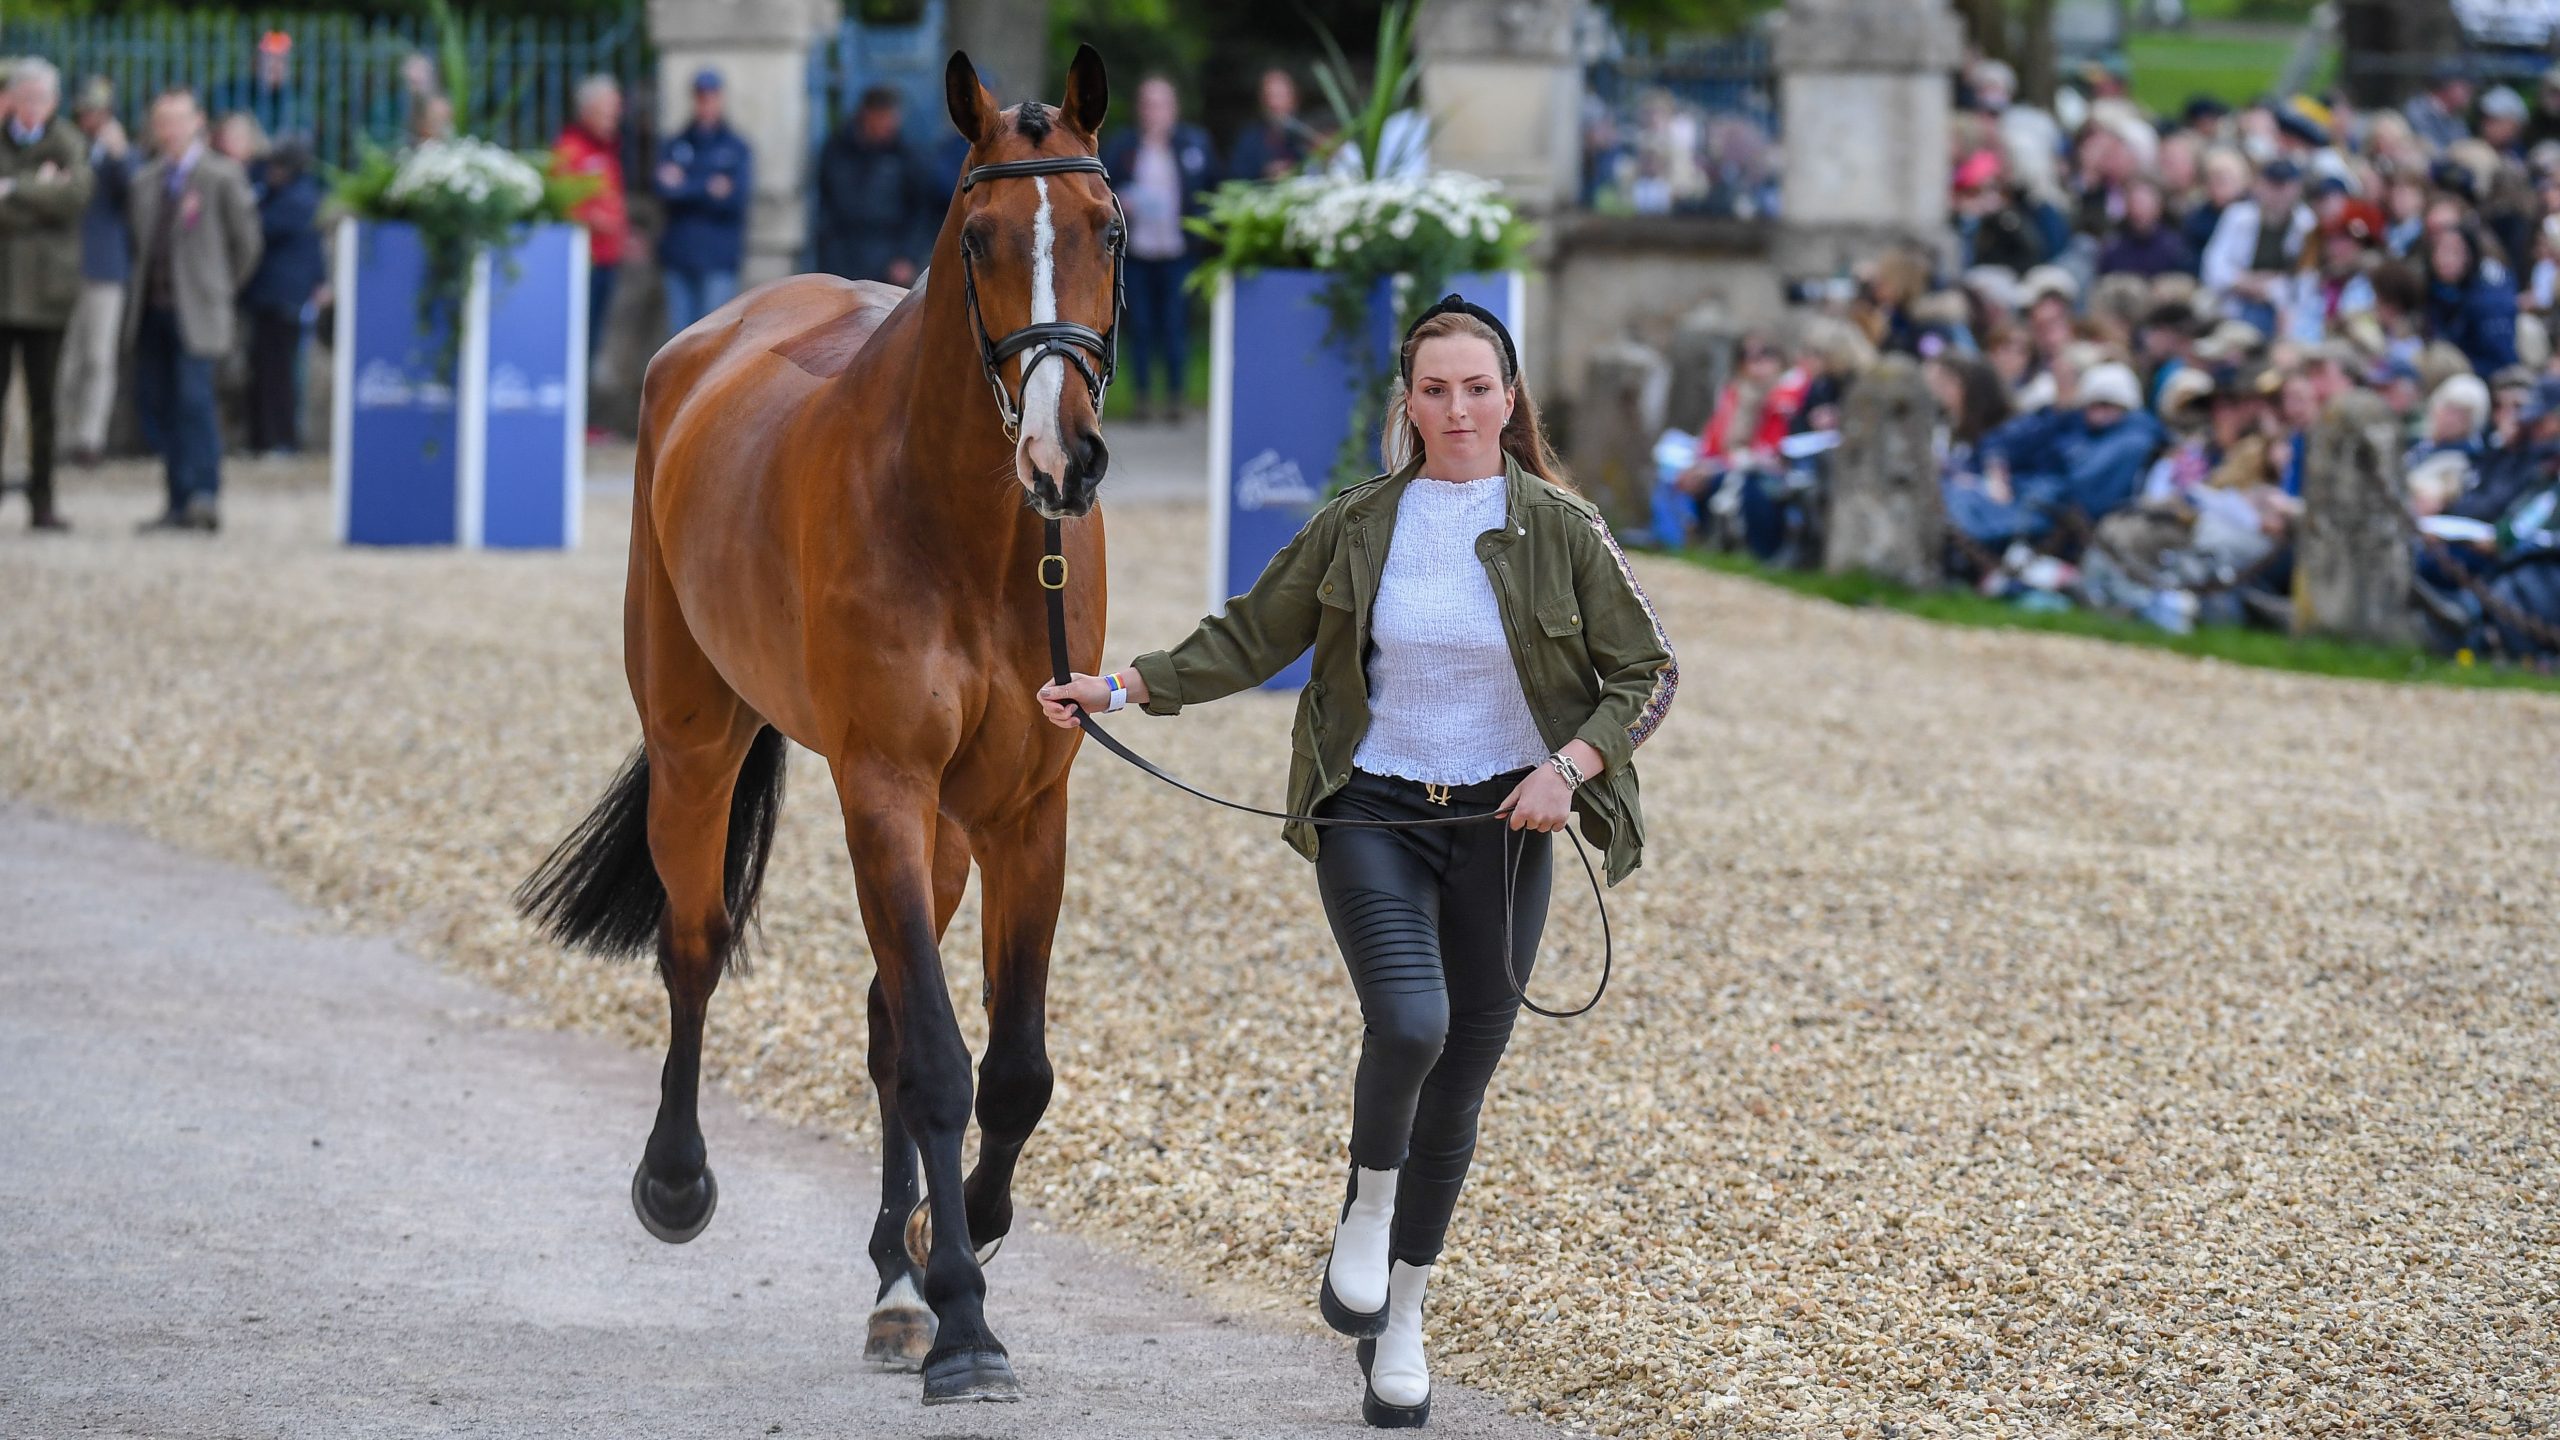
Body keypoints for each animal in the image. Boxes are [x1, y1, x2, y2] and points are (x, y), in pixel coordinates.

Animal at [515, 47, 1120, 1405]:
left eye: (1109, 228)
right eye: (979, 237)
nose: (1063, 454)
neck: (970, 529)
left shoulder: (1023, 808)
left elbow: (1009, 1068)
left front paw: (956, 1241)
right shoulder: (881, 784)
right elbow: (945, 1061)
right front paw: (965, 1318)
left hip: (940, 829)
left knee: (887, 1014)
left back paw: (897, 1279)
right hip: (697, 745)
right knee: (695, 946)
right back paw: (679, 1181)